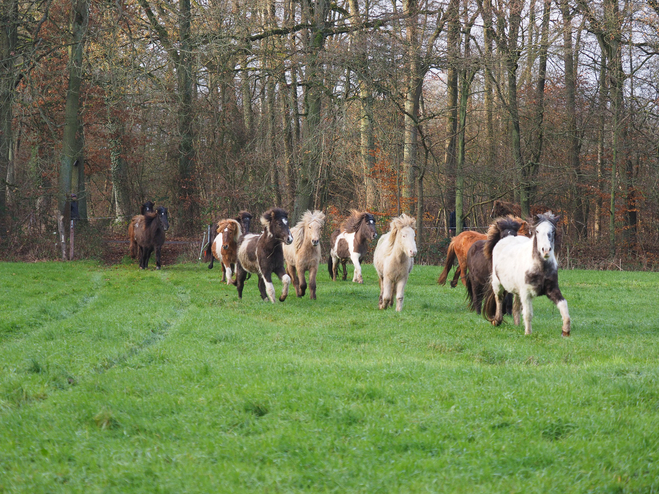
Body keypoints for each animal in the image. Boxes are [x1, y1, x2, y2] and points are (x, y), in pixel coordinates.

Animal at [482, 210, 568, 338]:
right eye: (537, 231)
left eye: (552, 231)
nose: (546, 250)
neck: (540, 268)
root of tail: (508, 237)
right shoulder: (526, 293)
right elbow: (528, 313)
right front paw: (528, 333)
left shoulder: (552, 289)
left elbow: (564, 305)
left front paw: (566, 330)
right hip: (498, 284)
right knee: (499, 299)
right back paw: (497, 321)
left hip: (517, 291)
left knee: (515, 308)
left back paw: (517, 325)